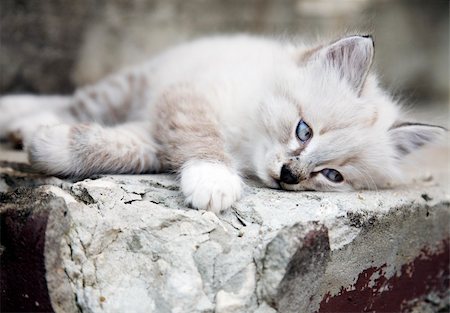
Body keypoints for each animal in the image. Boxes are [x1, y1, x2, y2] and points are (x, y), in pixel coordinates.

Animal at [0, 34, 446, 212]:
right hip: (128, 86)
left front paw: (49, 145)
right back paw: (18, 116)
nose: (289, 175)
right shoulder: (186, 99)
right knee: (75, 102)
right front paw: (214, 180)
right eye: (303, 131)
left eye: (333, 176)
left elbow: (124, 149)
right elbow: (202, 140)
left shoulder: (158, 127)